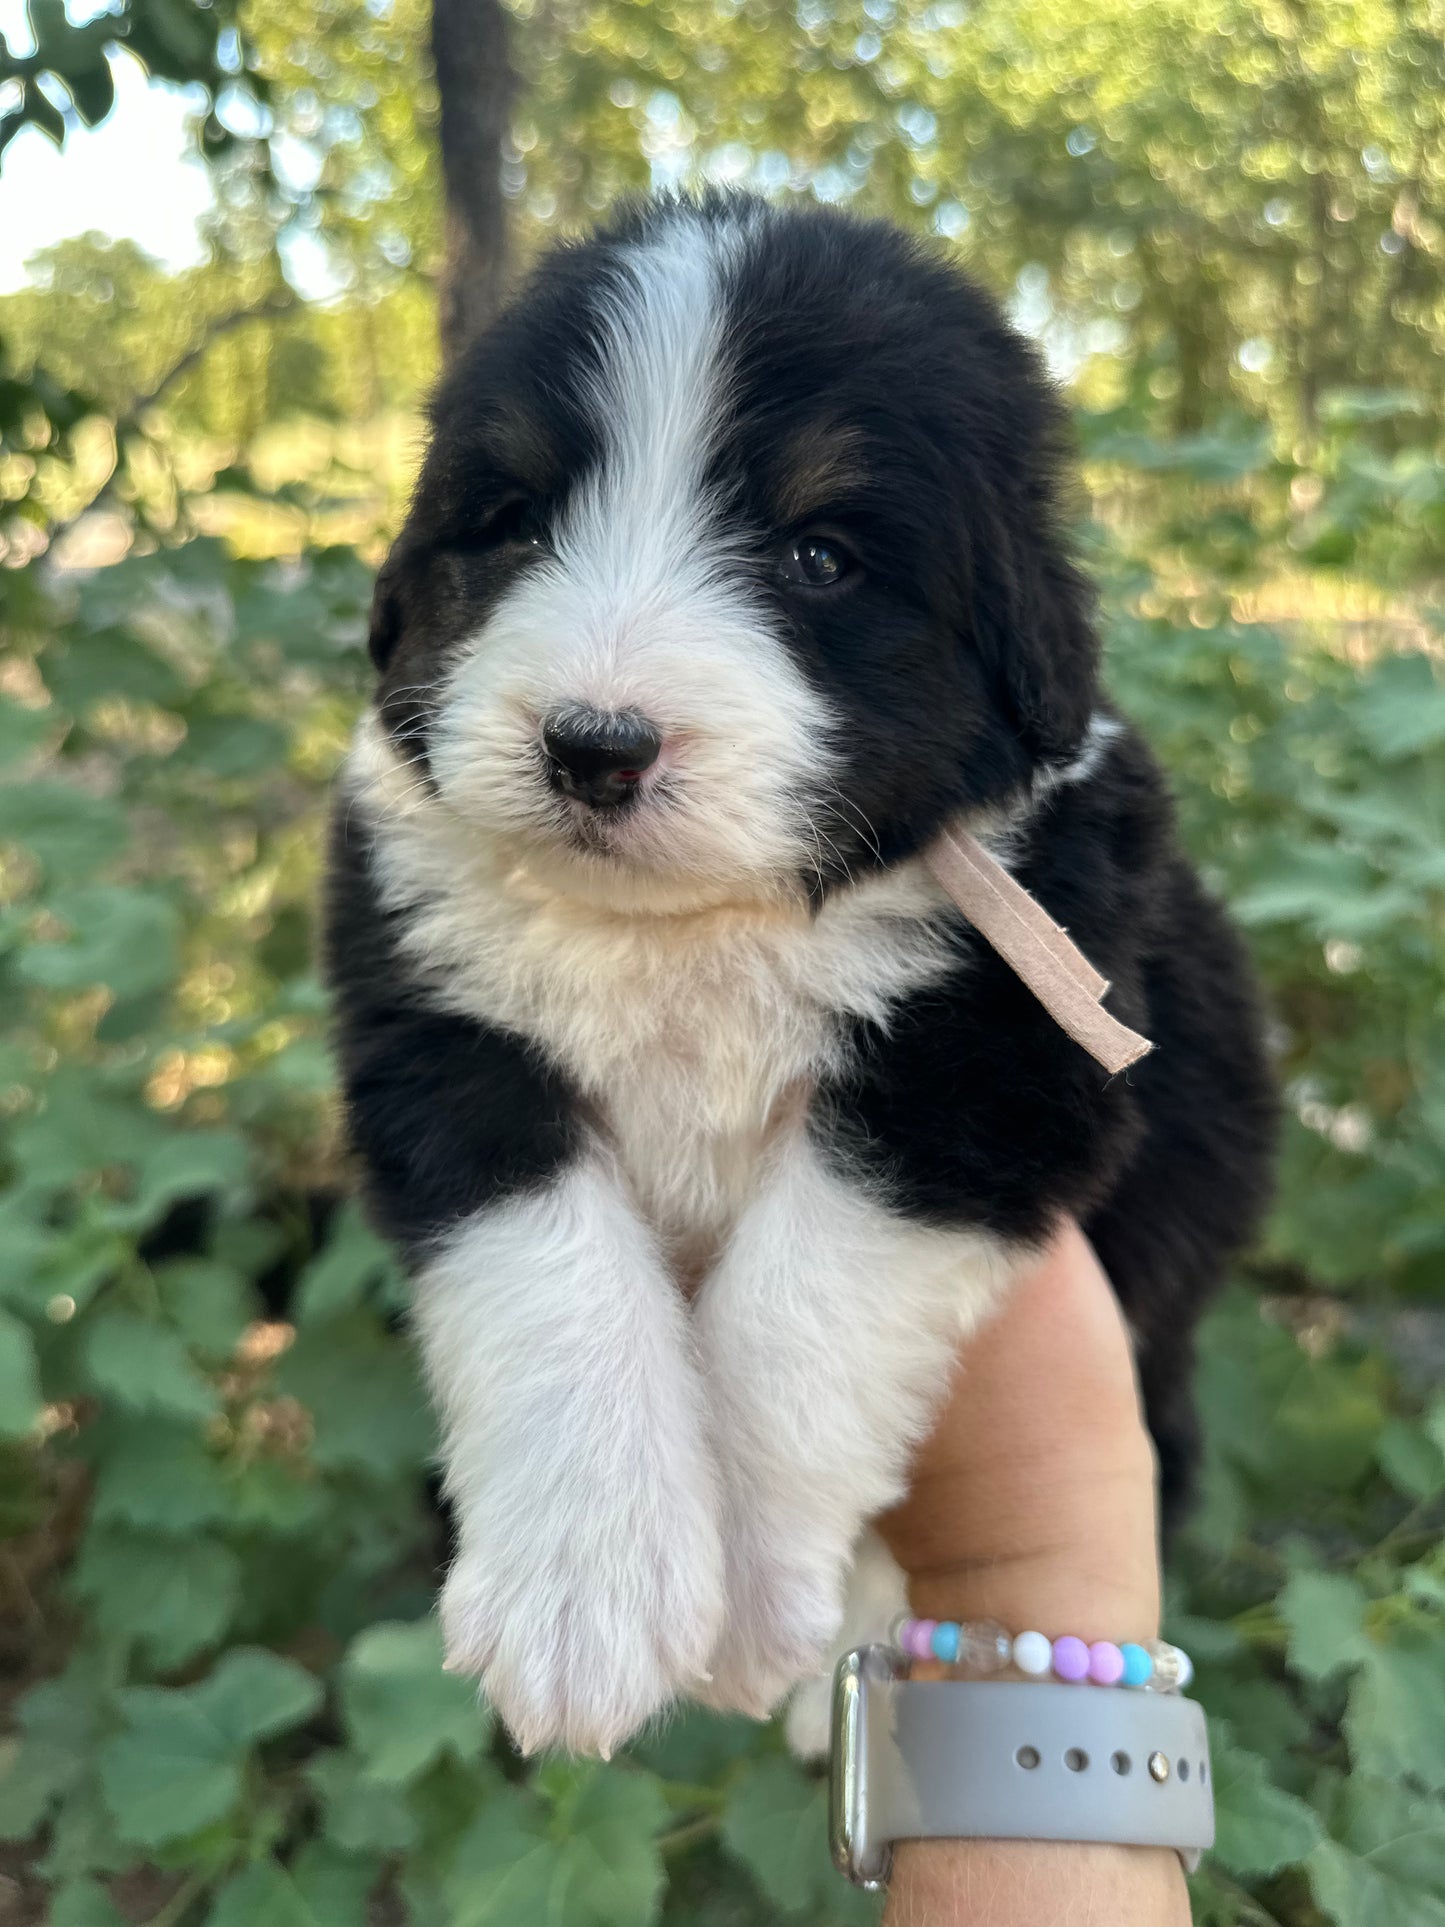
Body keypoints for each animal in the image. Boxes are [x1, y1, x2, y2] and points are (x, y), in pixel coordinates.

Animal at [327, 191, 1279, 1765]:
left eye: (819, 558)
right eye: (513, 523)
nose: (592, 745)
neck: (694, 928)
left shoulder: (997, 1072)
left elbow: (795, 1307)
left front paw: (753, 1602)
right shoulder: (438, 1026)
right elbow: (546, 1272)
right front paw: (583, 1589)